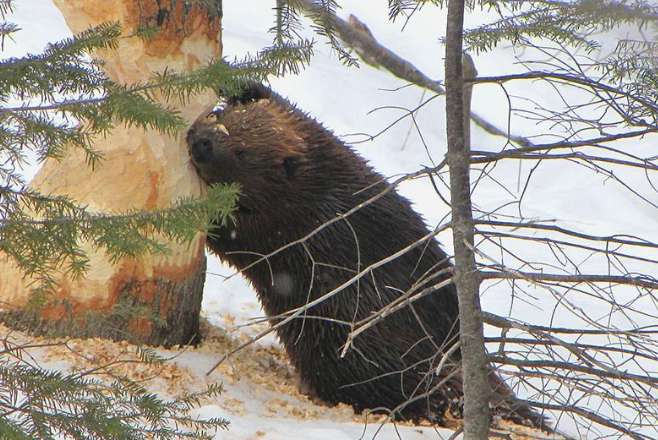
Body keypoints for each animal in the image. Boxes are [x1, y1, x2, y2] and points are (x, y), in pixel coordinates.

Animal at [186, 83, 548, 430]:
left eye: (242, 152)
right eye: (223, 117)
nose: (201, 142)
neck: (314, 187)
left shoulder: (286, 226)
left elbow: (234, 235)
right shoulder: (329, 149)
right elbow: (297, 113)